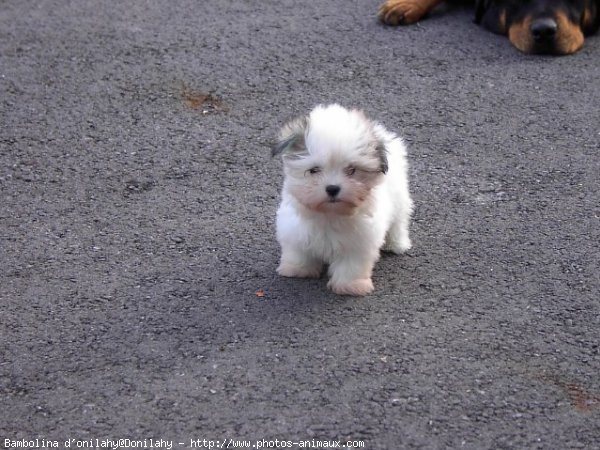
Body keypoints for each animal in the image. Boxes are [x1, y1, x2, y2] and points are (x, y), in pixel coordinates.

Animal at [272, 104, 412, 298]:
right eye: (314, 170)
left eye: (351, 170)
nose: (332, 188)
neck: (330, 214)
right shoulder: (295, 230)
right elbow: (299, 251)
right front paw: (298, 269)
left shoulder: (359, 242)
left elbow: (351, 265)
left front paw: (350, 286)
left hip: (400, 198)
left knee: (399, 222)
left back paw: (397, 244)